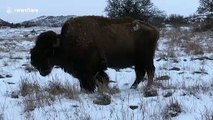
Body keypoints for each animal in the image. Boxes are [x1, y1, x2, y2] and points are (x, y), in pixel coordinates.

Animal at [30, 15, 159, 92]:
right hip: (138, 62)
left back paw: (147, 88)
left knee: (150, 71)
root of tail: (154, 30)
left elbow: (94, 81)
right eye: (36, 47)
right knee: (140, 73)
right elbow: (100, 79)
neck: (66, 43)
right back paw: (133, 88)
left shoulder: (89, 70)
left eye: (47, 51)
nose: (34, 62)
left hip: (146, 59)